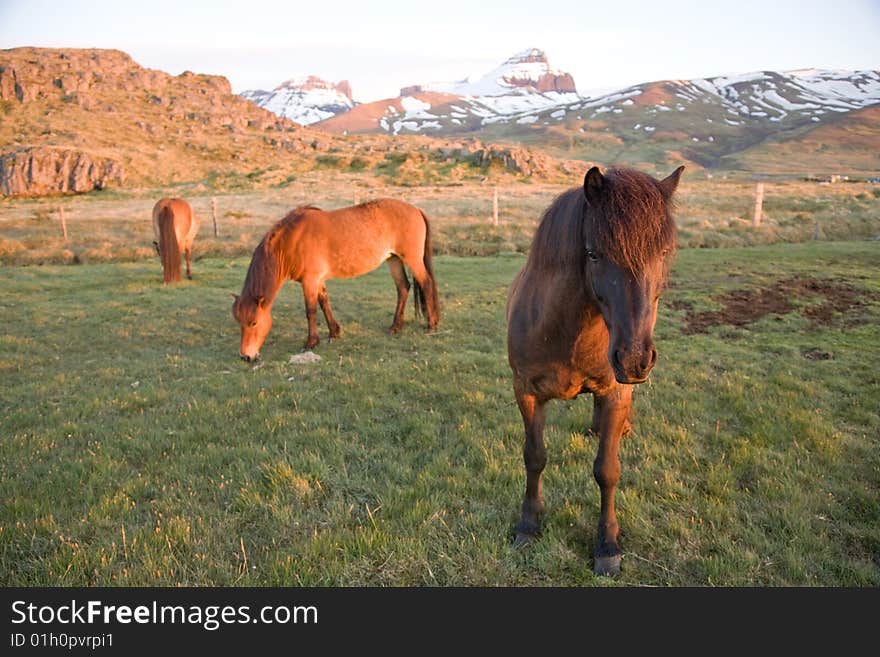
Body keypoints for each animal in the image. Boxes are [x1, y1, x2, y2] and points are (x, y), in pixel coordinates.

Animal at [234, 199, 440, 362]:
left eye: (253, 323)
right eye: (239, 322)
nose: (246, 356)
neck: (291, 241)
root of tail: (416, 210)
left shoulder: (310, 281)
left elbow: (311, 311)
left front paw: (311, 342)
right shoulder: (317, 280)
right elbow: (324, 303)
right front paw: (334, 332)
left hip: (411, 259)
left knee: (426, 283)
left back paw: (431, 324)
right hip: (394, 259)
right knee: (403, 287)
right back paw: (396, 327)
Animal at [506, 164, 684, 576]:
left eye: (663, 252)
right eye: (593, 254)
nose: (634, 359)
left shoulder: (617, 392)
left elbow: (607, 470)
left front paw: (607, 546)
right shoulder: (526, 392)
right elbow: (534, 457)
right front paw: (528, 525)